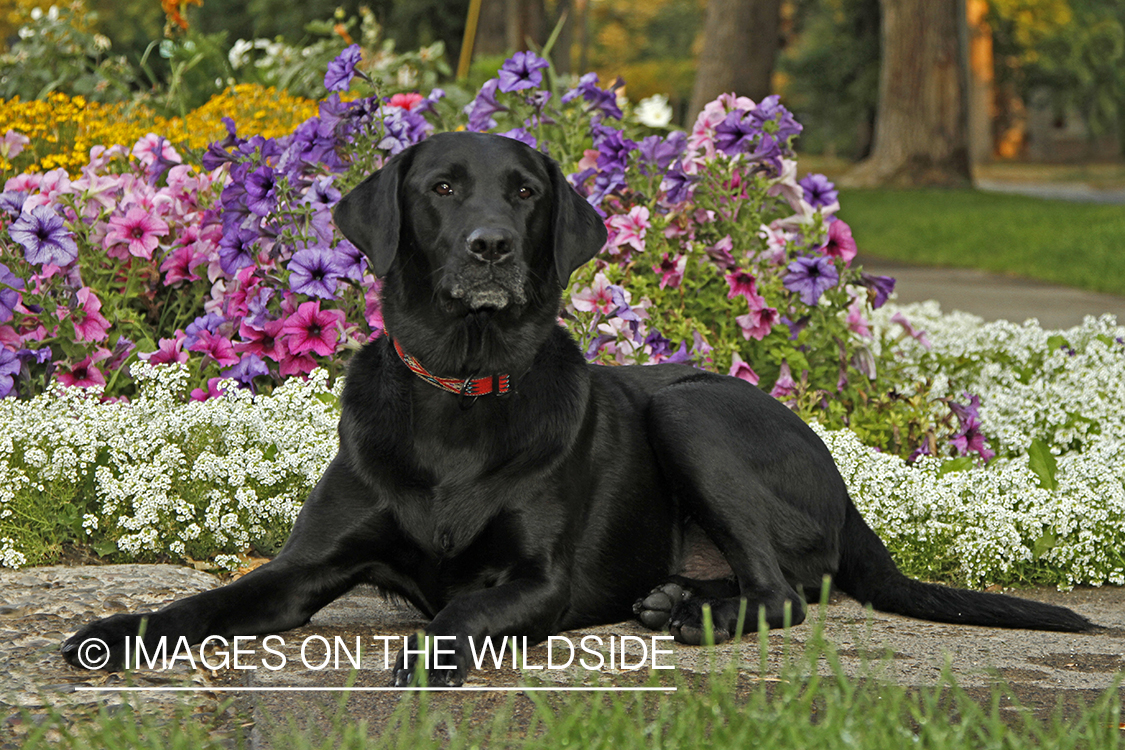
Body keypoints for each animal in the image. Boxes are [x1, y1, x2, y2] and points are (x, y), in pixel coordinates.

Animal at [59, 130, 1089, 688]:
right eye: (441, 188)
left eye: (524, 192)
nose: (492, 246)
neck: (460, 392)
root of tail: (842, 484)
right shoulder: (300, 571)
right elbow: (200, 601)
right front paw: (112, 633)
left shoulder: (540, 582)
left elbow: (457, 613)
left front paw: (426, 659)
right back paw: (677, 597)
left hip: (693, 419)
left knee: (784, 594)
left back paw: (695, 614)